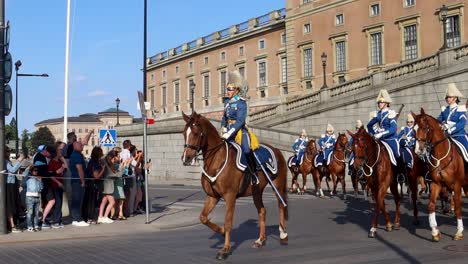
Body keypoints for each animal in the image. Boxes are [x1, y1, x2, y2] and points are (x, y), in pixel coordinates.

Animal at [180, 112, 288, 260]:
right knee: (262, 211)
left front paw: (225, 249)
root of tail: (276, 149)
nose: (186, 158)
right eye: (184, 133)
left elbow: (228, 222)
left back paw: (283, 235)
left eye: (196, 133)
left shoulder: (230, 196)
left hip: (278, 185)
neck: (216, 160)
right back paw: (260, 240)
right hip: (257, 191)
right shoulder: (213, 196)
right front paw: (221, 232)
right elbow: (203, 218)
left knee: (281, 205)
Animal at [414, 109, 468, 241]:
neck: (441, 157)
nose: (418, 151)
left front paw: (459, 232)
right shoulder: (436, 184)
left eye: (425, 128)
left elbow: (458, 207)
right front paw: (435, 232)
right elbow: (431, 205)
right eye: (414, 129)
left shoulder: (457, 185)